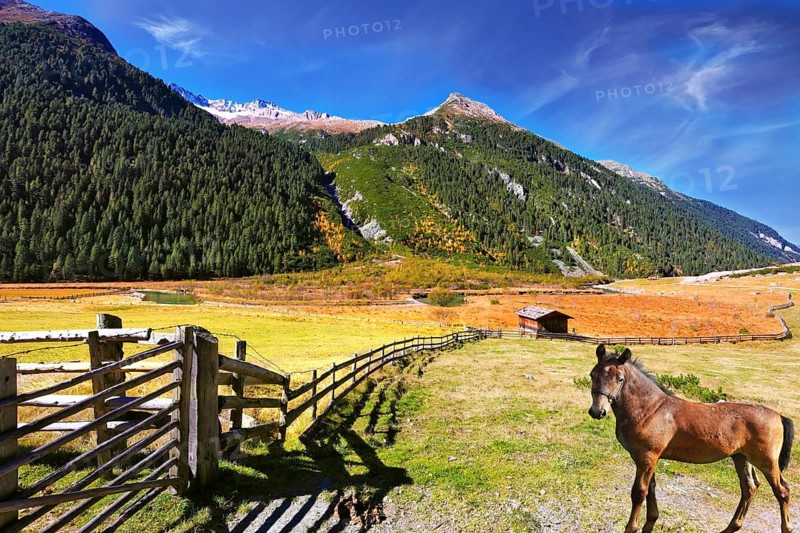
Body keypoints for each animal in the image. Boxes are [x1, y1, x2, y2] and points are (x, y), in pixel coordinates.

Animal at [588, 344, 794, 533]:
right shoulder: (650, 458)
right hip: (741, 457)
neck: (650, 410)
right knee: (749, 488)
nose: (598, 411)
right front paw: (650, 523)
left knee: (782, 490)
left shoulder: (647, 456)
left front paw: (632, 528)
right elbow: (651, 488)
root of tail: (779, 416)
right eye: (592, 375)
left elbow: (639, 492)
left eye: (620, 379)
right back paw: (730, 527)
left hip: (766, 461)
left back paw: (786, 527)